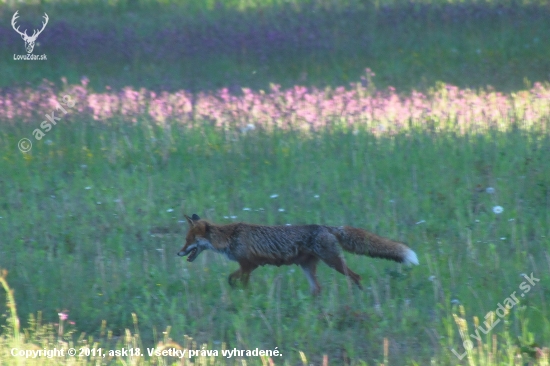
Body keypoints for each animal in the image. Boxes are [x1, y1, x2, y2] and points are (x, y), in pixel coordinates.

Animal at [179, 214, 420, 294]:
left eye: (189, 241)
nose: (178, 252)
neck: (230, 237)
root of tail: (327, 227)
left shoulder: (248, 265)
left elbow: (234, 279)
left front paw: (242, 294)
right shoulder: (248, 266)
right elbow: (235, 280)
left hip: (333, 262)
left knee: (356, 277)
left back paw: (362, 297)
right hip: (308, 267)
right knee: (317, 289)